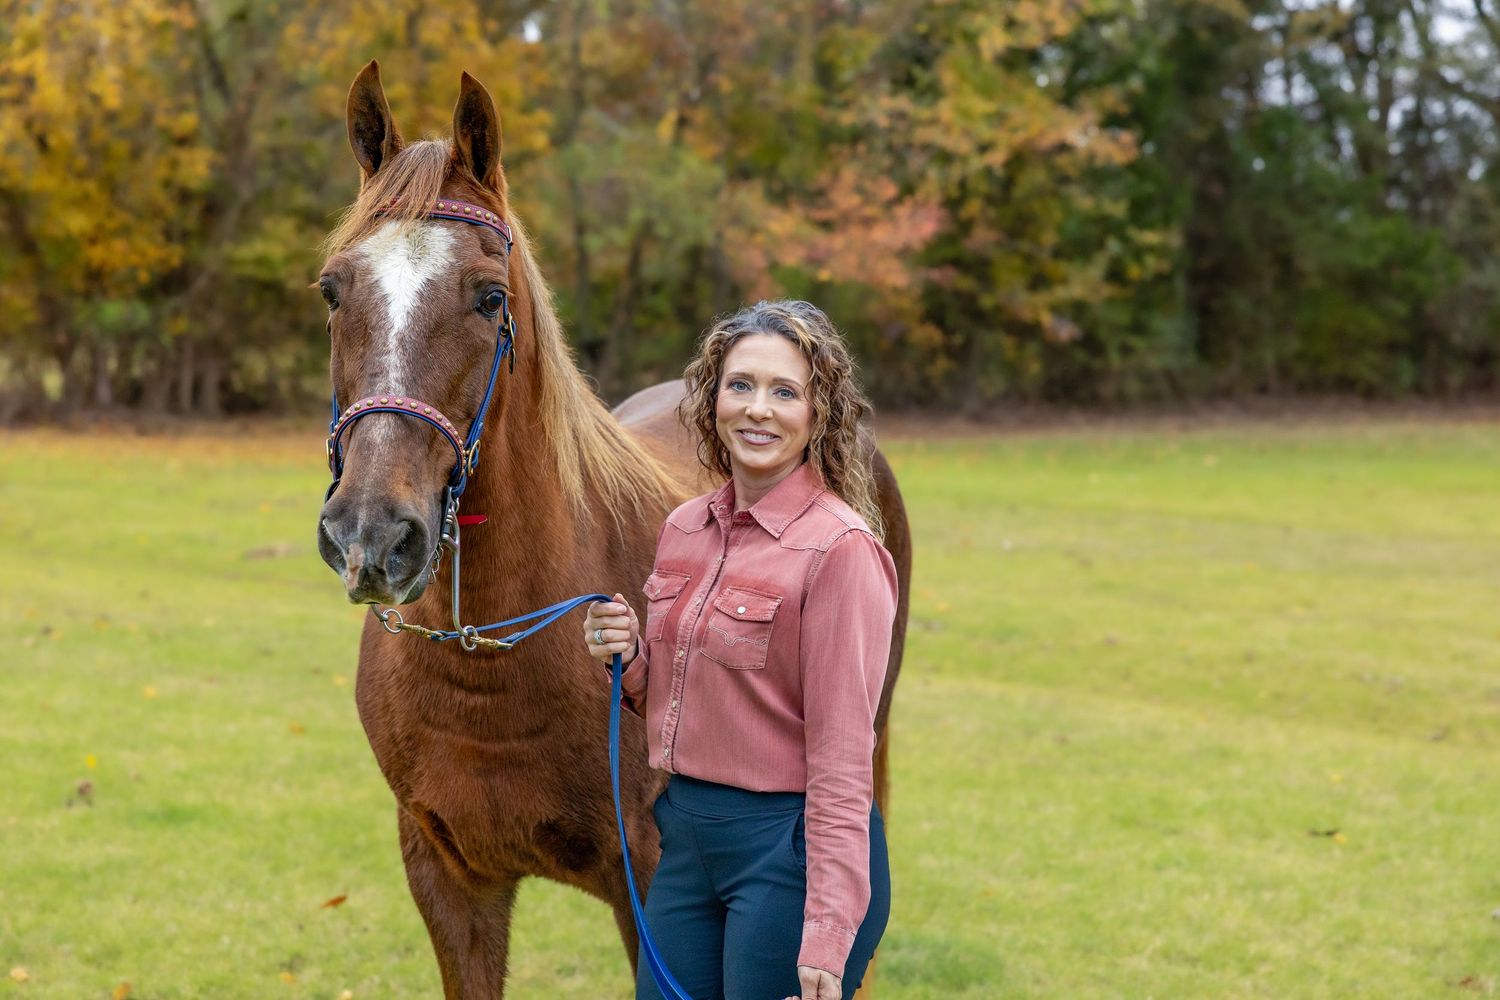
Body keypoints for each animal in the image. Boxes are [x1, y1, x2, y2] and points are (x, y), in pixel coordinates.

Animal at [313, 60, 912, 998]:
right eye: (334, 291)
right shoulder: (447, 877)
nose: (371, 536)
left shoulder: (652, 893)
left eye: (489, 297)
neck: (495, 655)